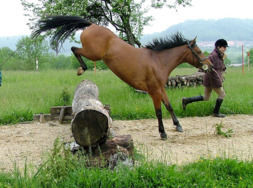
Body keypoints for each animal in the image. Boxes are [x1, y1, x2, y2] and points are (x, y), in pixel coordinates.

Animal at [33, 15, 211, 140]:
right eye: (199, 51)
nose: (208, 64)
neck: (157, 61)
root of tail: (92, 25)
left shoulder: (161, 88)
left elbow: (169, 107)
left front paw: (178, 126)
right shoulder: (154, 91)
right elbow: (159, 112)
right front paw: (163, 133)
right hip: (93, 53)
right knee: (74, 49)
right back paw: (81, 69)